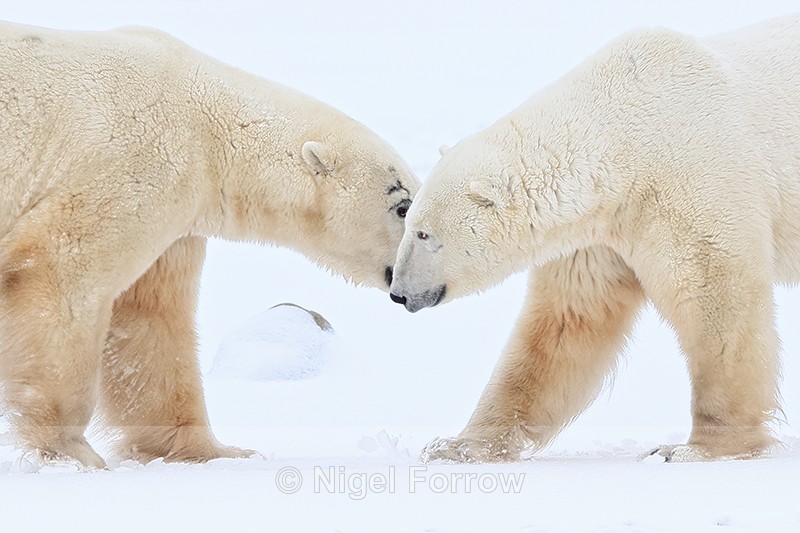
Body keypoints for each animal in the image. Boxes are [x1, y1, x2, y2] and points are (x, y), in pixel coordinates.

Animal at [0, 21, 419, 469]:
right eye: (403, 205)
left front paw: (213, 450)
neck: (206, 126)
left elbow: (152, 321)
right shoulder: (132, 165)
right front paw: (72, 452)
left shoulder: (177, 219)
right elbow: (62, 277)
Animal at [389, 14, 800, 463]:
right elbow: (566, 324)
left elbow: (718, 299)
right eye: (407, 220)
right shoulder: (599, 232)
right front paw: (459, 445)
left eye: (424, 233)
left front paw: (695, 448)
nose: (397, 292)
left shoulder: (692, 178)